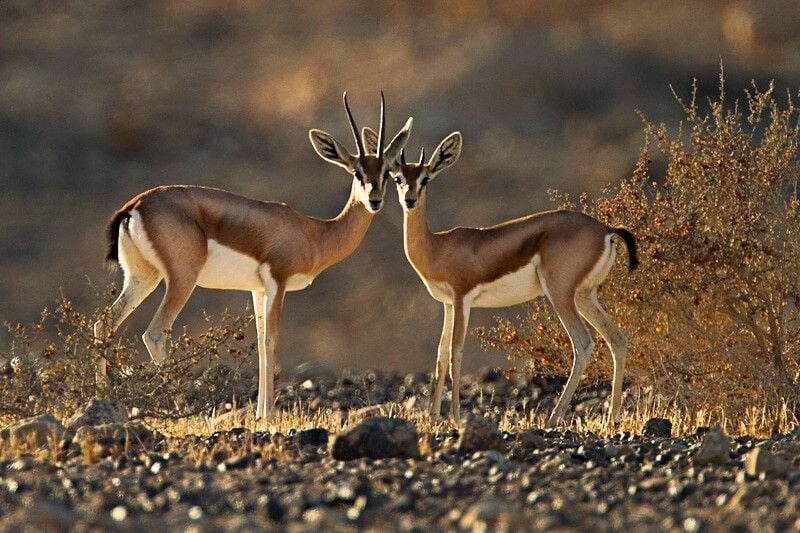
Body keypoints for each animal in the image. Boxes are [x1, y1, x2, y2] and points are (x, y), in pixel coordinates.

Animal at [94, 92, 412, 419]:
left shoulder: (257, 290)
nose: (374, 200)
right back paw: (178, 404)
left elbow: (259, 344)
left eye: (386, 172)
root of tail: (136, 205)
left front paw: (260, 412)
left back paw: (103, 394)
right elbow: (271, 341)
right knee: (155, 334)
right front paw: (268, 414)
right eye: (357, 172)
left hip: (144, 277)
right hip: (182, 280)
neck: (313, 234)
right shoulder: (278, 283)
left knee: (104, 323)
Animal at [362, 128, 637, 427]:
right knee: (617, 338)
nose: (410, 200)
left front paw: (455, 417)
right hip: (585, 296)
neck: (437, 247)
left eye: (425, 179)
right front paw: (433, 417)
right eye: (398, 178)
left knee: (584, 344)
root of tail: (606, 230)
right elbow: (440, 355)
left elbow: (456, 352)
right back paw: (611, 419)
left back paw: (553, 418)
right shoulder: (447, 304)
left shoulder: (462, 299)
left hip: (561, 295)